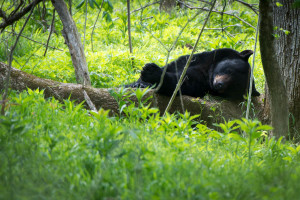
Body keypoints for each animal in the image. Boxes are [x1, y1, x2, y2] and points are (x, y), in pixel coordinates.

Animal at [126, 47, 260, 99]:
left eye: (234, 87)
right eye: (229, 70)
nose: (219, 84)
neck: (209, 71)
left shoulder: (201, 83)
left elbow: (181, 84)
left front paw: (152, 73)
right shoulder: (193, 59)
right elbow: (171, 66)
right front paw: (140, 80)